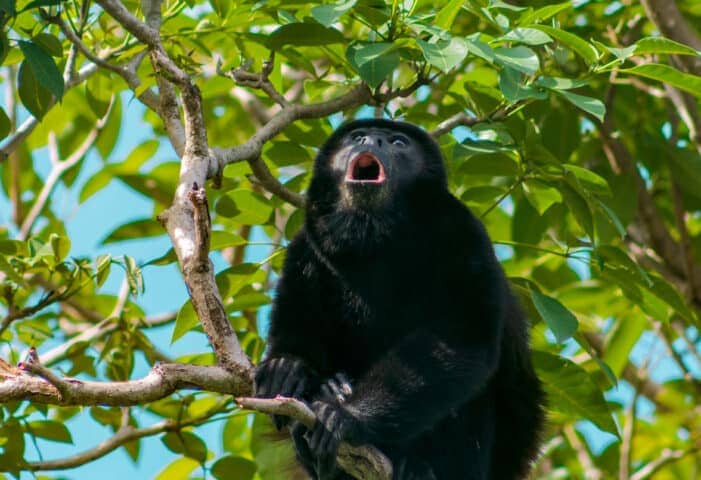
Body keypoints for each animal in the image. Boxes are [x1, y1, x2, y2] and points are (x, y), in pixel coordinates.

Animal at [254, 119, 544, 479]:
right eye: (357, 137)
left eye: (398, 142)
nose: (372, 140)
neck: (376, 235)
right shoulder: (306, 245)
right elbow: (299, 323)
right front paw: (287, 367)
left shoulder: (465, 235)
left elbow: (461, 341)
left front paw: (348, 417)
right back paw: (328, 397)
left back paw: (417, 466)